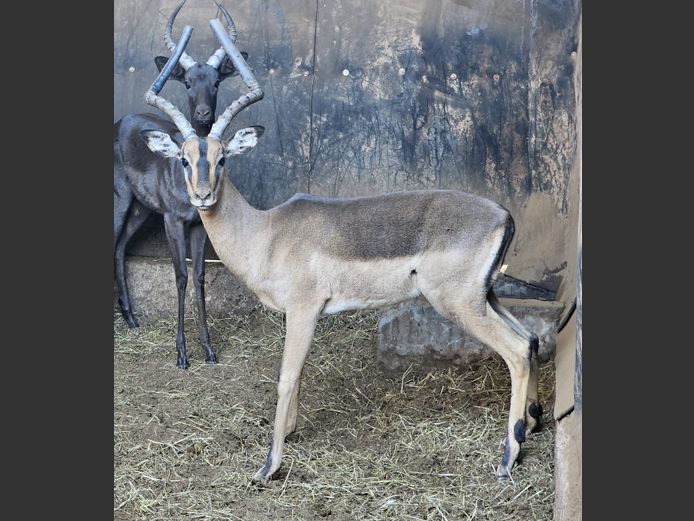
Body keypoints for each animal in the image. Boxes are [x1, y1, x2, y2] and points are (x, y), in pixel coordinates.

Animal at [113, 0, 245, 368]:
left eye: (216, 81)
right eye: (186, 82)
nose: (202, 114)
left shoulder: (197, 225)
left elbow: (199, 278)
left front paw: (209, 350)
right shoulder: (173, 221)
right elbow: (181, 277)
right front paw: (182, 355)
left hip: (141, 210)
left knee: (120, 246)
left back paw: (131, 318)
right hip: (120, 201)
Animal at [143, 19, 544, 484]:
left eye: (223, 157)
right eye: (185, 159)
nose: (203, 196)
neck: (268, 232)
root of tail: (503, 214)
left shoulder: (303, 308)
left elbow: (286, 375)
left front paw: (268, 465)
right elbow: (297, 374)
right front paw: (291, 431)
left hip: (459, 302)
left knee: (516, 352)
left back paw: (508, 457)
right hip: (486, 296)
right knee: (531, 339)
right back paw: (533, 423)